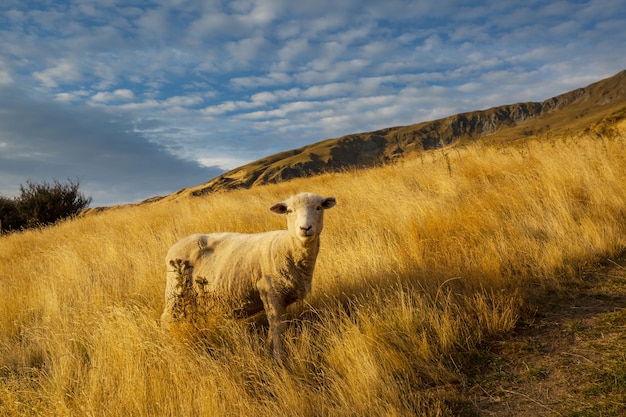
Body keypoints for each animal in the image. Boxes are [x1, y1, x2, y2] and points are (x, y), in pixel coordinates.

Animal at [162, 192, 336, 358]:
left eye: (318, 207)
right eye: (289, 211)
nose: (305, 228)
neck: (289, 246)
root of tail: (173, 248)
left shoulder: (280, 298)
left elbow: (276, 326)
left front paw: (268, 349)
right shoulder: (270, 291)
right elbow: (277, 326)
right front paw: (278, 357)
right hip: (175, 293)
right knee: (167, 320)